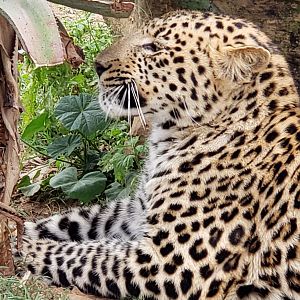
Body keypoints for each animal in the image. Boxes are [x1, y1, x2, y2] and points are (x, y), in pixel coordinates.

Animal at [21, 9, 300, 300]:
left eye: (153, 48)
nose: (97, 65)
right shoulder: (135, 209)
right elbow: (79, 220)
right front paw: (19, 231)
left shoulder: (168, 263)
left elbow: (89, 255)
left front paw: (28, 249)